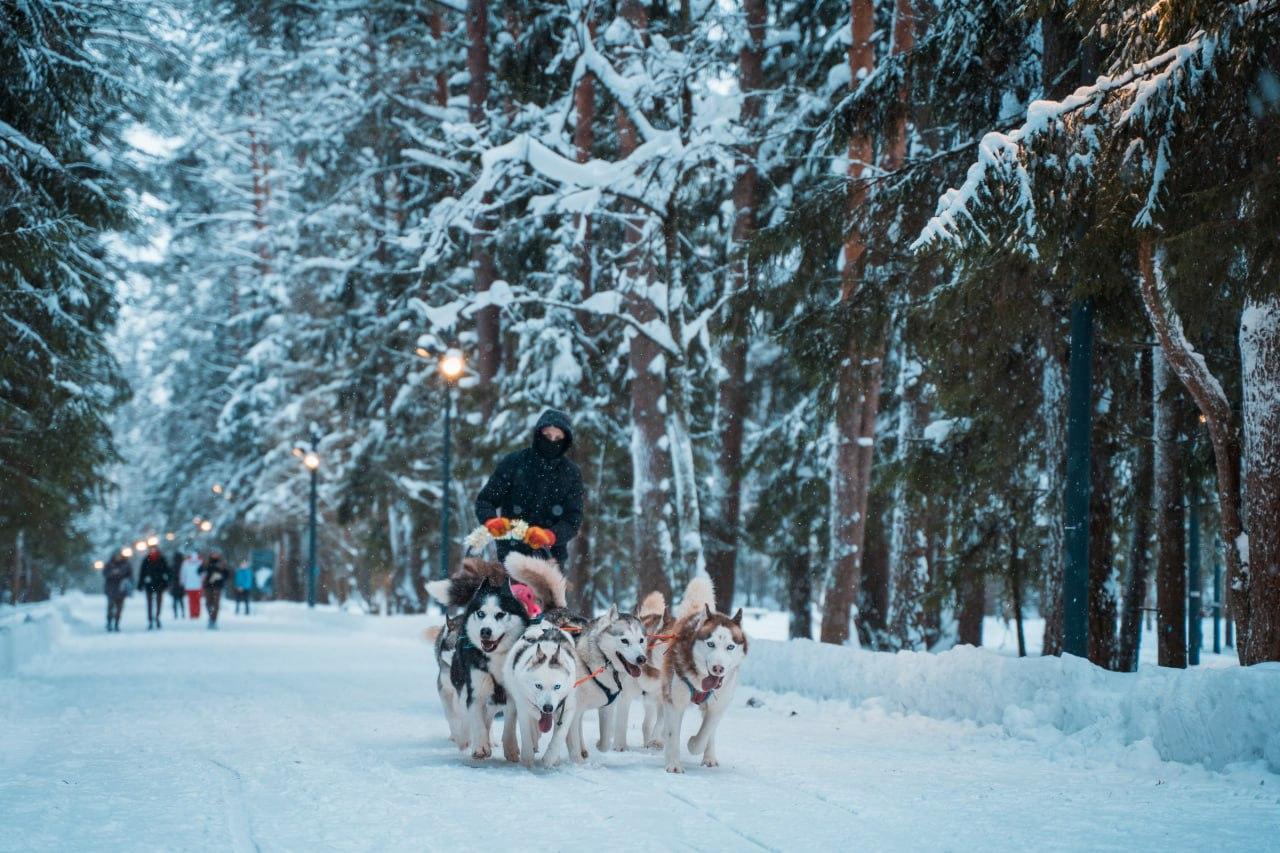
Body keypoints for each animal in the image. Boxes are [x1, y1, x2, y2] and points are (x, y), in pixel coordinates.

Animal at [501, 617, 578, 763]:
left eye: (557, 686)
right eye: (538, 686)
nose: (548, 707)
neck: (548, 649)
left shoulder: (567, 708)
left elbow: (559, 736)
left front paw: (550, 758)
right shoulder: (523, 707)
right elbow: (526, 735)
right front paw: (528, 760)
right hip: (513, 699)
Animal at [565, 601, 650, 758]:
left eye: (641, 640)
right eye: (624, 640)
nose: (642, 659)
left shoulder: (608, 707)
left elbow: (605, 743)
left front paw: (598, 745)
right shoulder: (573, 709)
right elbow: (573, 743)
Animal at [611, 589, 680, 747]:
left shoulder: (665, 699)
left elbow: (660, 723)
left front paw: (656, 740)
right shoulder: (625, 695)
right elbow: (621, 723)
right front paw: (619, 746)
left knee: (647, 724)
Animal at [660, 571, 747, 768]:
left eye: (730, 647)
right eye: (711, 644)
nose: (718, 668)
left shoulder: (719, 704)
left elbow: (705, 733)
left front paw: (693, 744)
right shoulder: (676, 701)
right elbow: (673, 733)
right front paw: (674, 763)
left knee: (710, 732)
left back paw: (709, 757)